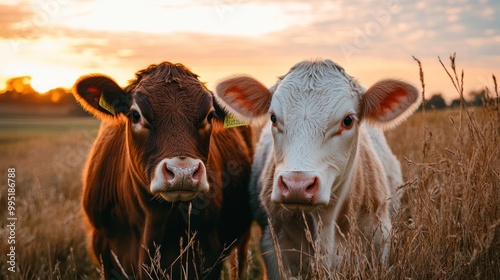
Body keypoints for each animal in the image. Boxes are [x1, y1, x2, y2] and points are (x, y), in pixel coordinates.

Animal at [73, 62, 254, 278]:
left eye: (210, 116)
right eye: (136, 115)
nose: (183, 172)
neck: (153, 219)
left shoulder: (209, 255)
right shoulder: (104, 251)